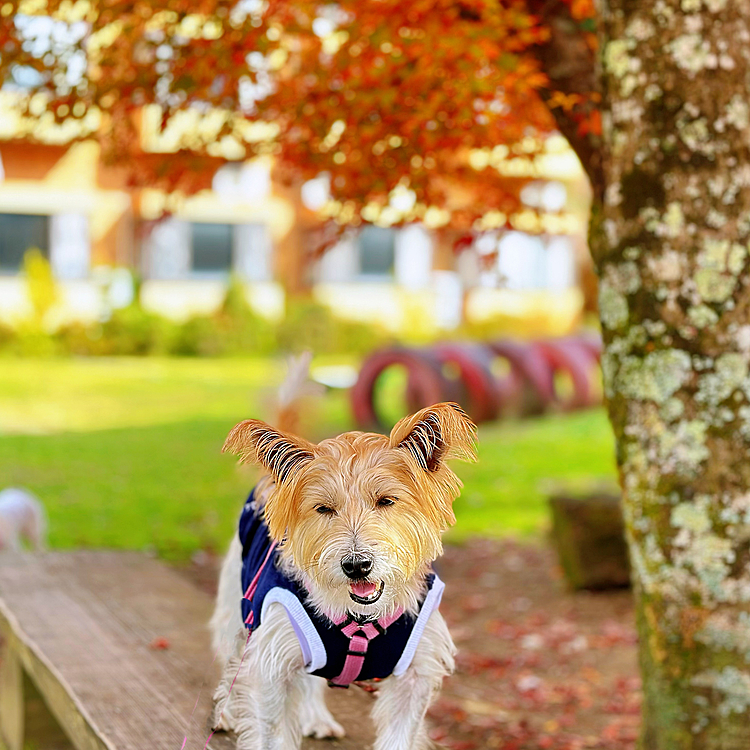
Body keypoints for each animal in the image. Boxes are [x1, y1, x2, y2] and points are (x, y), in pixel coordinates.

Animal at [210, 374, 476, 748]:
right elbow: (273, 732)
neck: (361, 620)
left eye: (386, 500)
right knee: (230, 659)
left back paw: (317, 718)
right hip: (239, 610)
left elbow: (399, 736)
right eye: (324, 509)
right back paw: (225, 713)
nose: (356, 565)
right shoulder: (272, 667)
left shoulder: (415, 678)